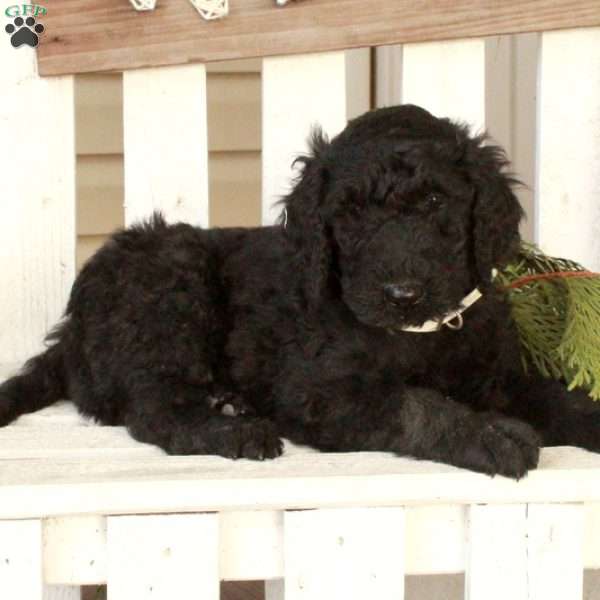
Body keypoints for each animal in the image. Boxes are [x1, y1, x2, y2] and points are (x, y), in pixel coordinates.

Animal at [2, 104, 596, 478]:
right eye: (350, 213)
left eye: (434, 202)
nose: (401, 293)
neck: (417, 335)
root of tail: (70, 331)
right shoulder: (319, 393)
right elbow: (417, 404)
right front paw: (491, 436)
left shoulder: (496, 375)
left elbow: (552, 395)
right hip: (170, 284)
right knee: (153, 409)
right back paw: (232, 432)